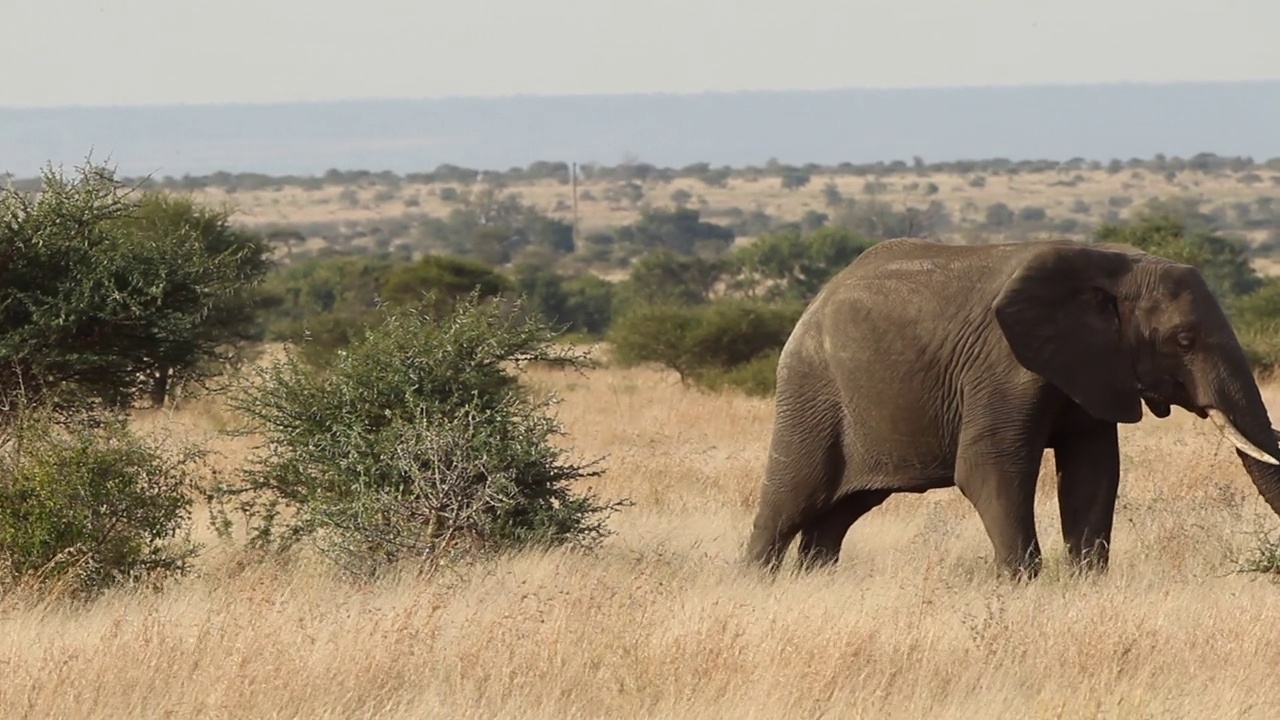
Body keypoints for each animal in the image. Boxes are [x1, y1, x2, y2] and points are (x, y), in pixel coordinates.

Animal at [747, 237, 1280, 576]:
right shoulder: (1002, 367)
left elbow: (1093, 472)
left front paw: (1087, 582)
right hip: (812, 391)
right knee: (792, 498)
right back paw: (758, 582)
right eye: (1184, 340)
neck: (1112, 264)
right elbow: (992, 469)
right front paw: (1023, 584)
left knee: (838, 513)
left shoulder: (1090, 366)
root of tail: (816, 301)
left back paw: (814, 581)